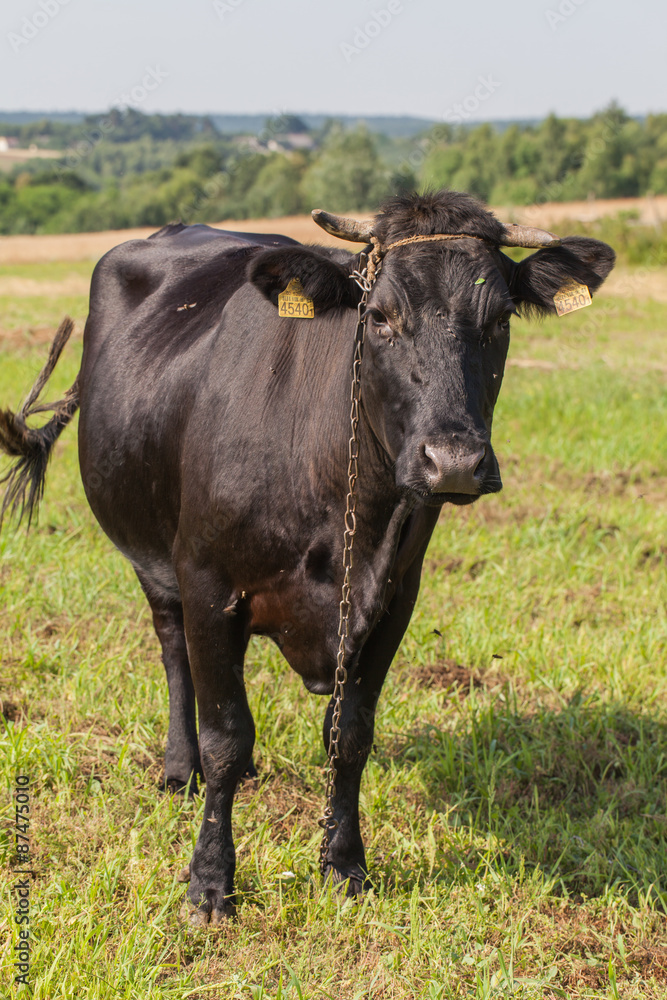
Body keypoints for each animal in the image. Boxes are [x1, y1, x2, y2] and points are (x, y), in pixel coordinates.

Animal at [0, 188, 616, 920]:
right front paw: (210, 880)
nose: (454, 462)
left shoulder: (393, 598)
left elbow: (348, 735)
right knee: (174, 652)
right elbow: (225, 735)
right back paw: (180, 770)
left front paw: (343, 863)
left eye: (498, 319)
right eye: (378, 317)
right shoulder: (208, 584)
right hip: (152, 556)